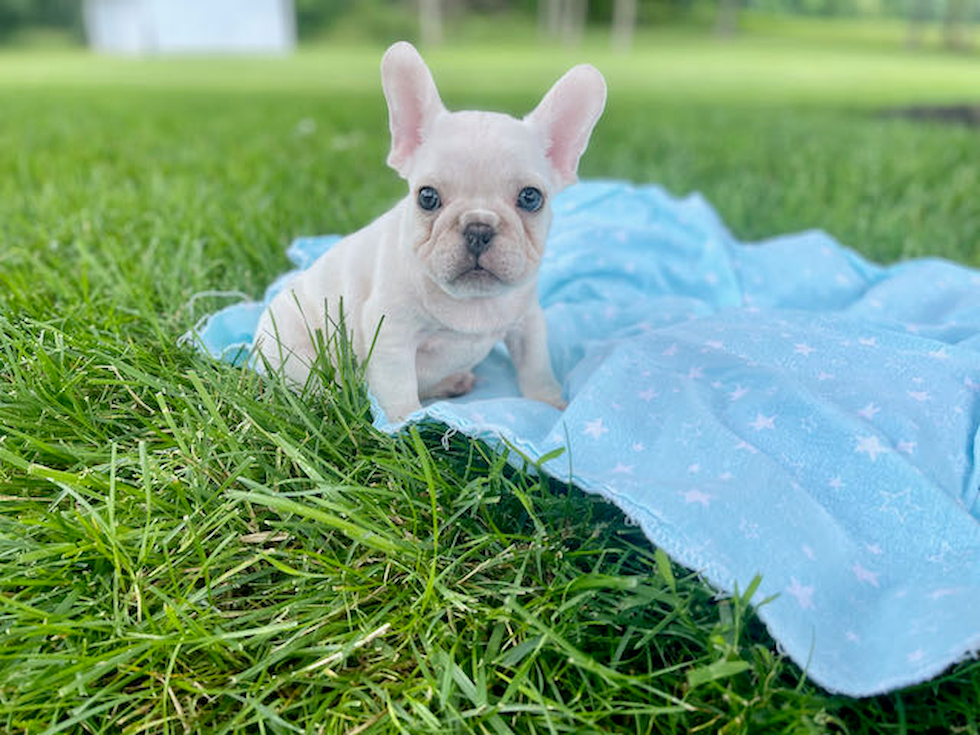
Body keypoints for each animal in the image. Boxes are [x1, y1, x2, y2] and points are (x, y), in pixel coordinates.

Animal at [253, 43, 604, 422]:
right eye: (427, 197)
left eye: (530, 197)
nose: (478, 227)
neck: (472, 302)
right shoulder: (391, 332)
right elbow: (398, 384)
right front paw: (405, 423)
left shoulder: (528, 323)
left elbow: (536, 365)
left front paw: (548, 402)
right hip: (296, 357)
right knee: (314, 386)